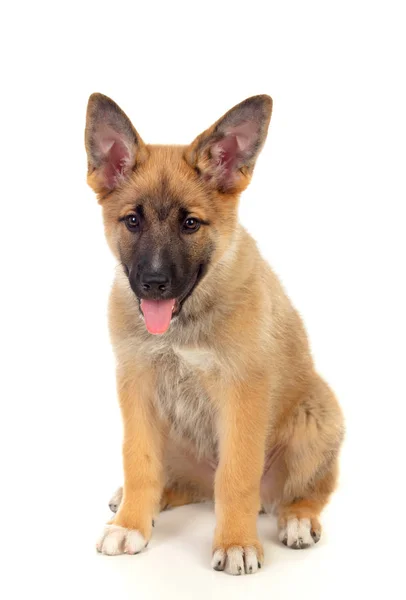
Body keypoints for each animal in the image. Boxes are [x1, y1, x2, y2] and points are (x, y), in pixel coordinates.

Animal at [85, 91, 342, 576]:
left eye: (190, 223)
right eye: (132, 221)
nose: (154, 283)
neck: (181, 326)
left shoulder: (242, 390)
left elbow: (236, 475)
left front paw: (237, 543)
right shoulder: (137, 385)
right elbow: (138, 461)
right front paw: (130, 524)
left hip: (317, 418)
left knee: (309, 490)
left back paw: (298, 519)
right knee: (177, 480)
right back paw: (143, 501)